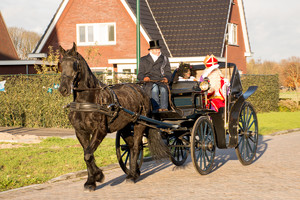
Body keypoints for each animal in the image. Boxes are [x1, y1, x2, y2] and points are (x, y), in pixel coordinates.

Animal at [58, 43, 166, 191]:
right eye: (60, 64)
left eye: (75, 64)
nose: (63, 89)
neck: (87, 101)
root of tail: (140, 90)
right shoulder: (80, 132)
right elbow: (87, 154)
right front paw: (91, 181)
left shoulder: (100, 131)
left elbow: (88, 155)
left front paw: (98, 176)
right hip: (125, 127)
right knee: (132, 146)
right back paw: (134, 172)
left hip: (139, 124)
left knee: (136, 147)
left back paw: (131, 176)